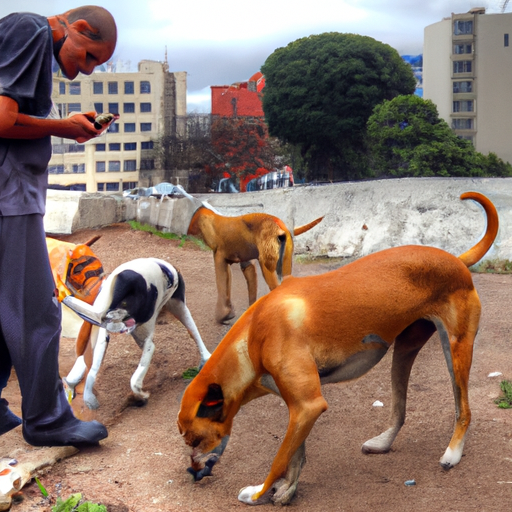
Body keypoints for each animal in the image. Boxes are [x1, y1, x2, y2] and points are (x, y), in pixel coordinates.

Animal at [62, 258, 210, 410]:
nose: (124, 325)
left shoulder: (144, 339)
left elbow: (133, 380)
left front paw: (140, 396)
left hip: (177, 308)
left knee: (193, 331)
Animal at [188, 206, 322, 322]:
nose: (189, 232)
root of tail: (279, 225)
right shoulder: (243, 262)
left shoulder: (219, 256)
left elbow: (221, 281)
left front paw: (223, 315)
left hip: (268, 261)